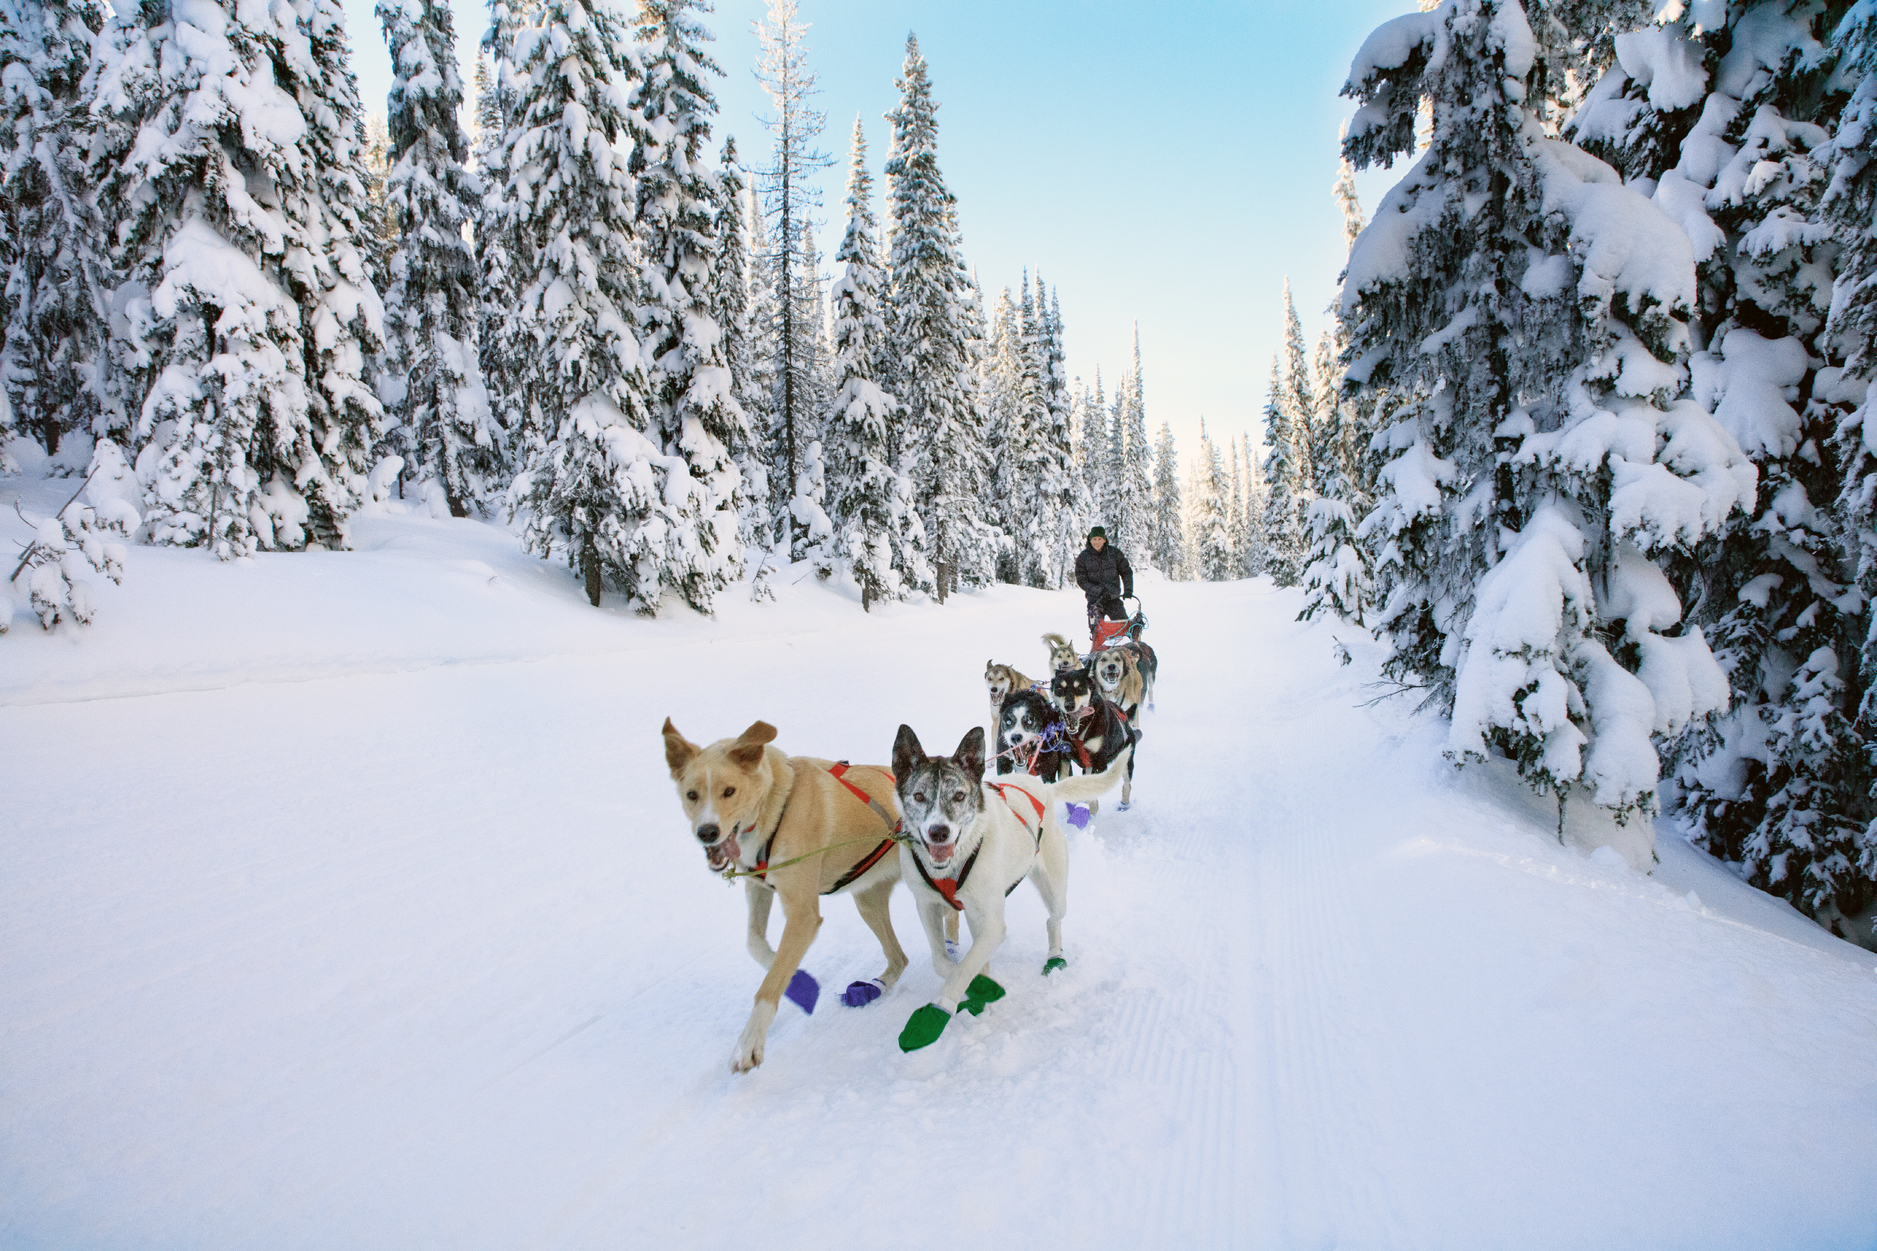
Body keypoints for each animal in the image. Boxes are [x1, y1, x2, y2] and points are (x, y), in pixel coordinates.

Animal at [668, 717, 908, 1066]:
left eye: (729, 791)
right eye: (691, 794)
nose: (707, 832)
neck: (776, 806)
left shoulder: (803, 914)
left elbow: (771, 982)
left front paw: (749, 1042)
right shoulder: (759, 888)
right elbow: (757, 945)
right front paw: (799, 981)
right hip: (867, 901)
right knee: (899, 958)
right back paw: (878, 984)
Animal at [889, 717, 1126, 1044]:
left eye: (959, 796)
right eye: (919, 796)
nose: (939, 832)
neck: (951, 865)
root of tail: (1044, 788)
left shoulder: (990, 923)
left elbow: (964, 969)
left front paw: (940, 1009)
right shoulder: (927, 906)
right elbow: (945, 962)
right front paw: (979, 989)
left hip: (1054, 890)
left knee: (1054, 919)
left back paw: (1055, 957)